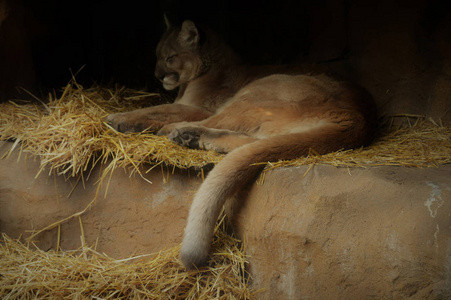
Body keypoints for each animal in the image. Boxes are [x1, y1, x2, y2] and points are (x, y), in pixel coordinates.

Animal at [106, 19, 378, 270]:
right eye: (157, 56)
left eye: (170, 57)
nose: (157, 76)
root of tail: (359, 117)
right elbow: (159, 108)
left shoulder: (199, 107)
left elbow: (156, 109)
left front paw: (117, 118)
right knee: (255, 141)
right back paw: (191, 137)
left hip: (260, 88)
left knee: (215, 125)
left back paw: (180, 132)